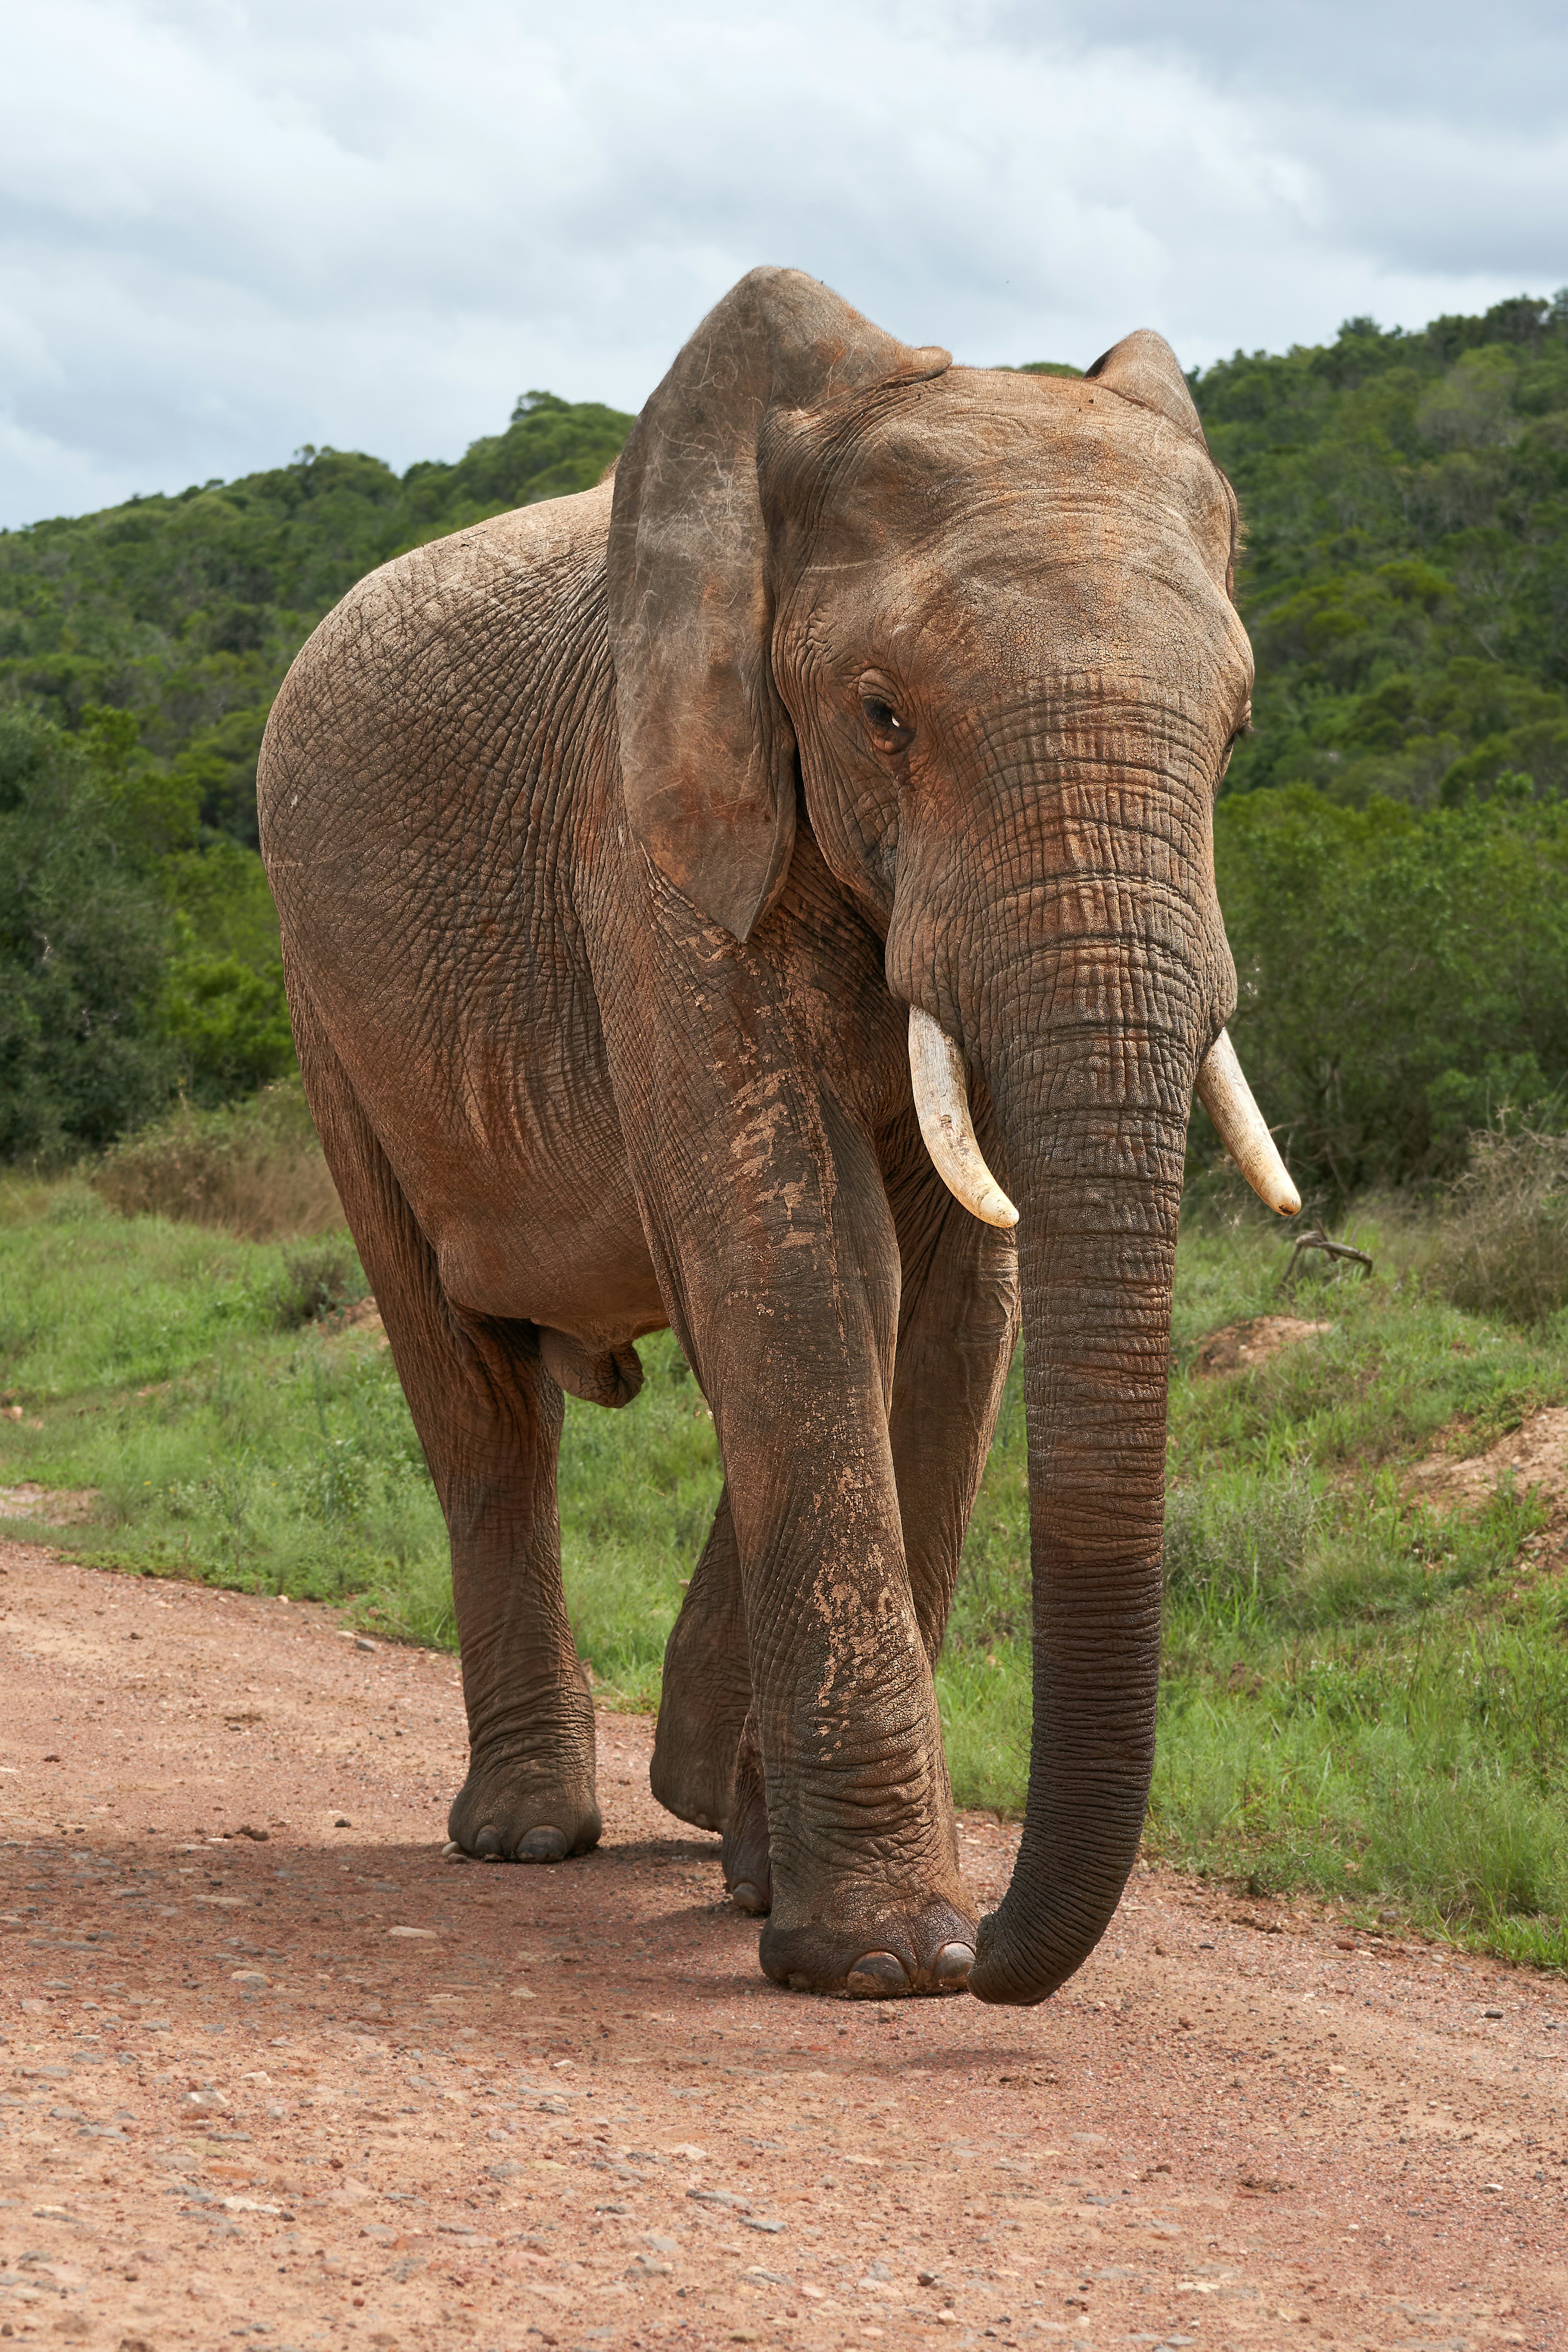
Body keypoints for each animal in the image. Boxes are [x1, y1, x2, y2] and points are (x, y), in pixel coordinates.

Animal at [257, 267, 1297, 2008]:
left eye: (1228, 739)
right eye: (881, 716)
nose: (992, 1956)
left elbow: (943, 1309)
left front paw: (807, 1907)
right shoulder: (650, 838)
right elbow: (795, 1266)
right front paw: (882, 1957)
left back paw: (697, 1814)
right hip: (324, 995)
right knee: (477, 1405)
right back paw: (530, 1837)